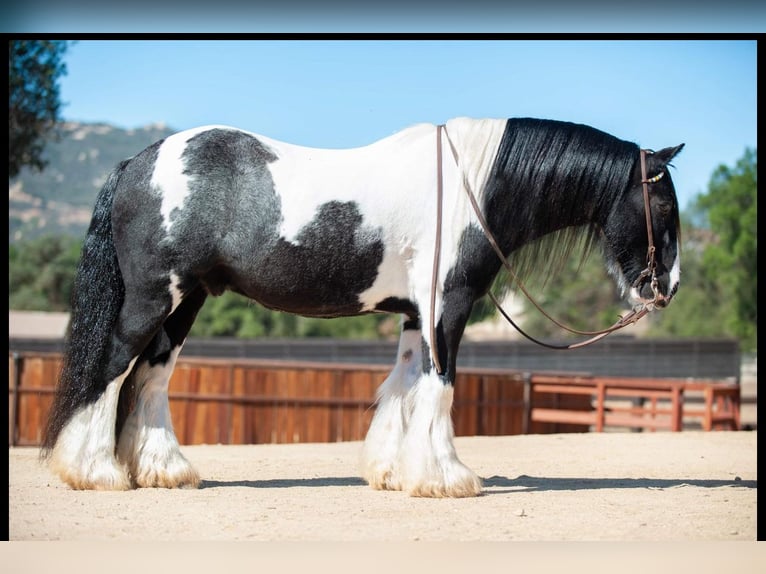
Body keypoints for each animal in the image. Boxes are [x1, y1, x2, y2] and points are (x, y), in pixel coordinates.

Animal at [39, 115, 684, 498]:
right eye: (665, 207)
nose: (666, 288)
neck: (472, 187)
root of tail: (137, 163)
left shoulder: (415, 314)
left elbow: (403, 385)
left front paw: (395, 472)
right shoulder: (447, 308)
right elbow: (440, 386)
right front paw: (447, 477)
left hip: (186, 302)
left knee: (149, 377)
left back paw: (163, 470)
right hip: (155, 299)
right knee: (110, 369)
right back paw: (94, 471)